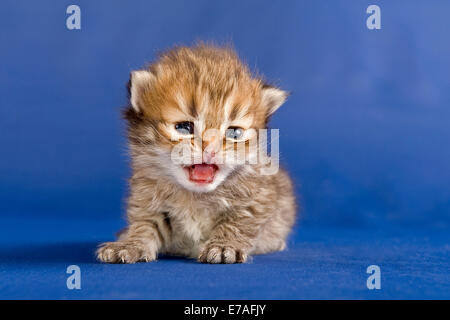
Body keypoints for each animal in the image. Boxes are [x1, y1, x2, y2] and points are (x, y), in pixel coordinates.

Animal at [96, 45, 298, 264]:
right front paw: (130, 244)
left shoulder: (258, 197)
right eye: (184, 127)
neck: (196, 195)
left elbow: (239, 221)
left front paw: (224, 246)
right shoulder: (147, 199)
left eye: (234, 133)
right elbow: (145, 224)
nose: (210, 149)